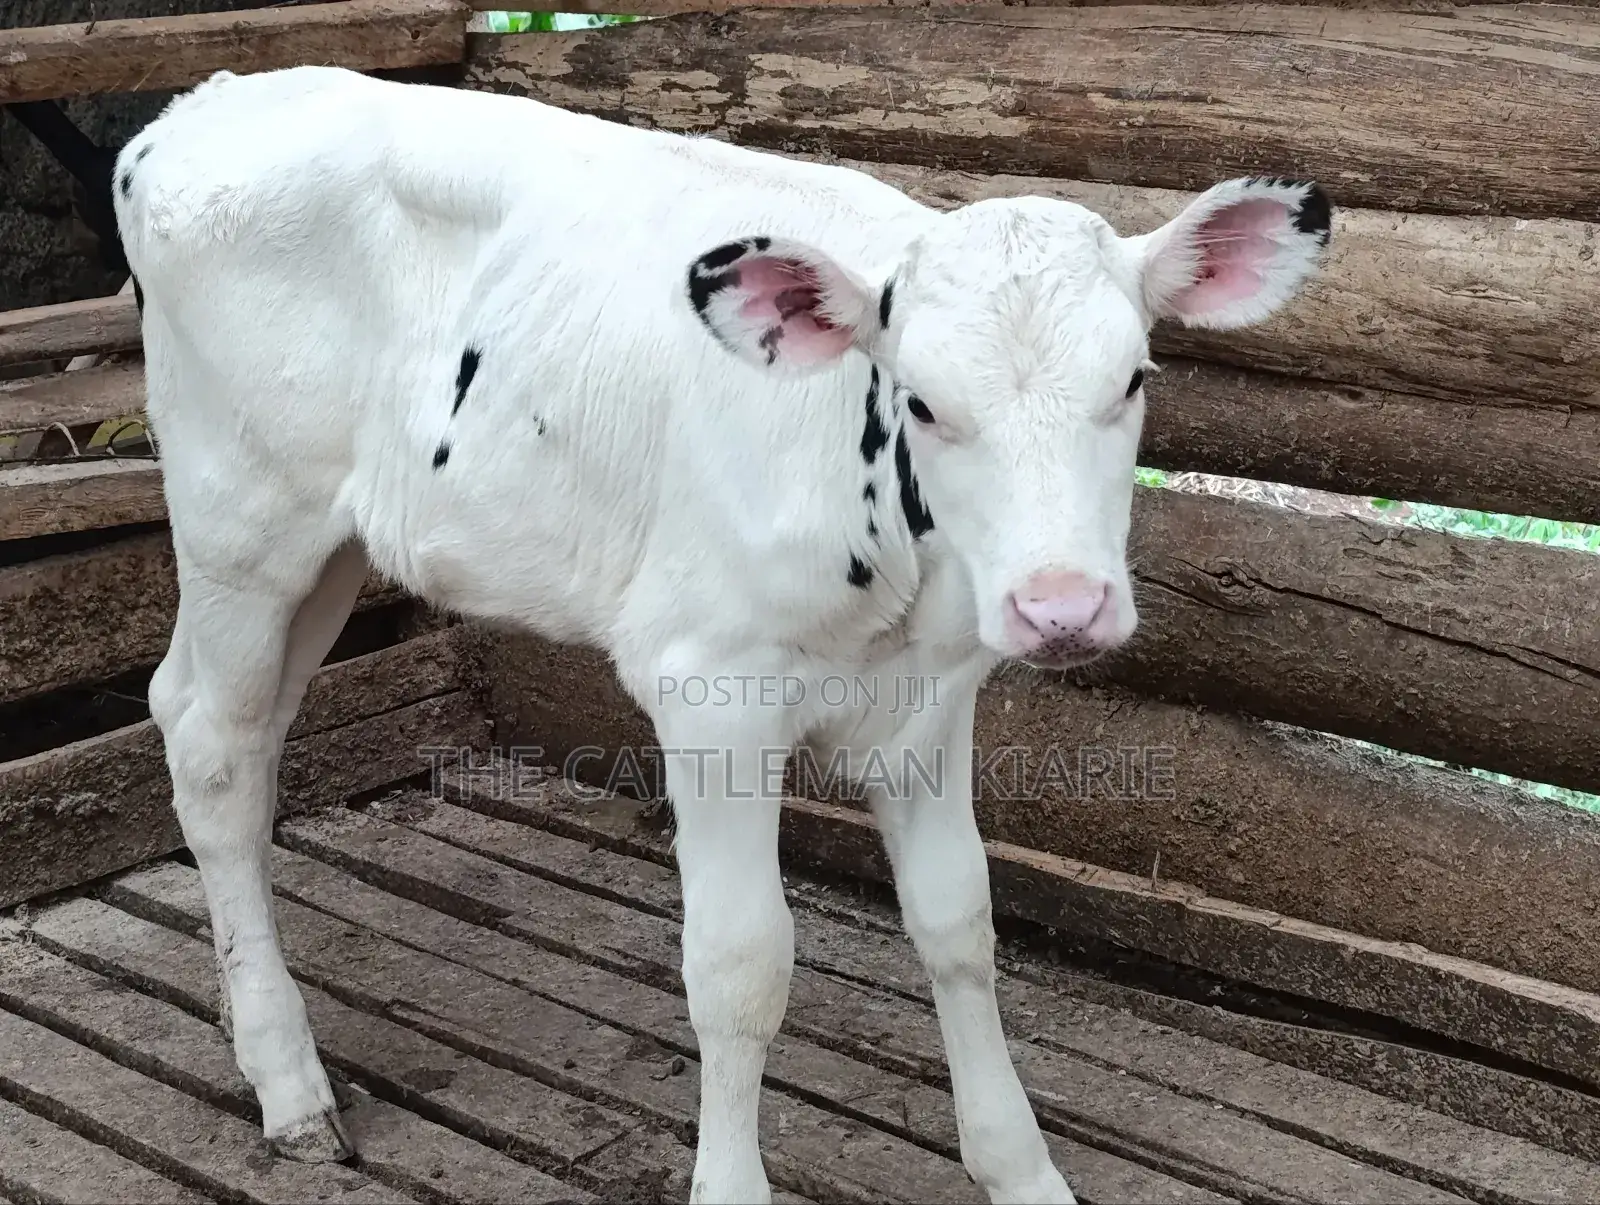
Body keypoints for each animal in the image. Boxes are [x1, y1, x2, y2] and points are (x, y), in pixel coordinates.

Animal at [108, 64, 1331, 1204]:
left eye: (1133, 379)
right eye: (924, 403)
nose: (1061, 606)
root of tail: (210, 100)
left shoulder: (931, 696)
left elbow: (959, 921)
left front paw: (1020, 1167)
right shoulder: (712, 692)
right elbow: (742, 968)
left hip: (333, 546)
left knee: (218, 717)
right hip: (242, 520)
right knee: (215, 752)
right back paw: (288, 1081)